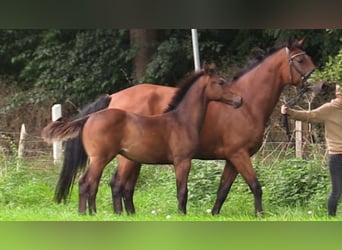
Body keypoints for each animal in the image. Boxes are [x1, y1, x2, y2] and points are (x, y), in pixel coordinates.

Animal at [41, 65, 242, 215]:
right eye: (220, 82)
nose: (239, 100)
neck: (181, 120)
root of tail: (89, 117)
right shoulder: (182, 160)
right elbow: (182, 191)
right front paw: (182, 214)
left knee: (93, 184)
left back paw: (94, 213)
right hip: (101, 158)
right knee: (86, 183)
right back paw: (85, 214)